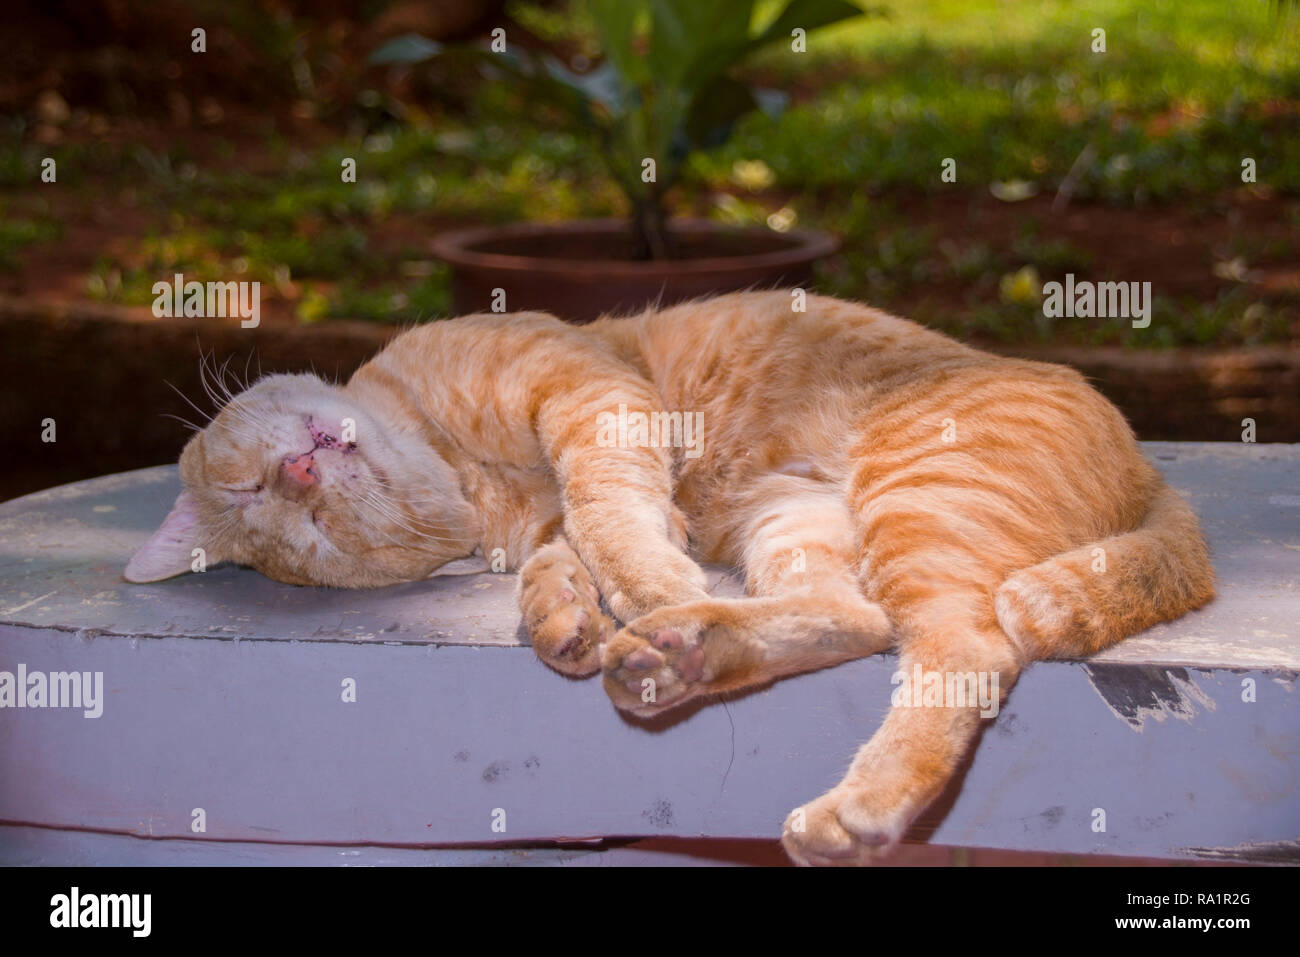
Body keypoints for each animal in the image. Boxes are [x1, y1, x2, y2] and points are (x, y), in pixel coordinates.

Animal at [126, 287, 1211, 863]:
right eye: (295, 525)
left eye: (257, 487)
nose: (302, 473)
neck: (464, 469)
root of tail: (1149, 469)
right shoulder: (563, 500)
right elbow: (566, 559)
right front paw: (570, 619)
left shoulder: (586, 394)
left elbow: (609, 516)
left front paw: (645, 585)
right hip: (808, 519)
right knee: (862, 619)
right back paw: (682, 651)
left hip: (919, 493)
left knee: (961, 646)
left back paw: (845, 802)